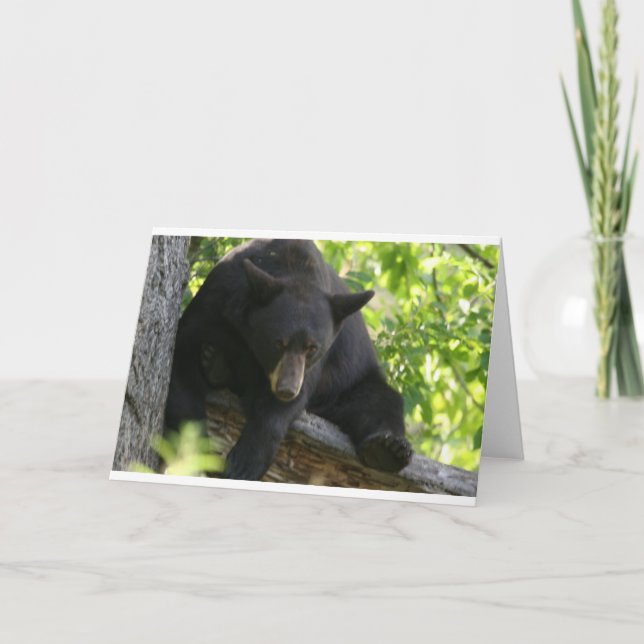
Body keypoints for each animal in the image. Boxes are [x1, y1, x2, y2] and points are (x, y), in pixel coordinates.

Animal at [164, 238, 413, 481]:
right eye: (279, 342)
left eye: (312, 348)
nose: (287, 389)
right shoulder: (216, 302)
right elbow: (182, 362)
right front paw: (198, 452)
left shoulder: (313, 367)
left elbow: (279, 411)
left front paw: (244, 463)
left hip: (348, 384)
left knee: (380, 401)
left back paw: (388, 450)